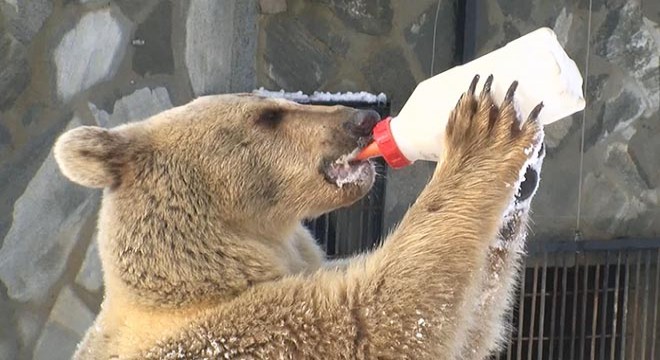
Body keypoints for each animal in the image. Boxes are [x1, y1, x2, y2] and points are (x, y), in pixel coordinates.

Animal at [54, 74, 544, 360]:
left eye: (274, 102)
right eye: (268, 115)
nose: (362, 118)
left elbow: (471, 326)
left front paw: (523, 177)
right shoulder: (244, 335)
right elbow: (380, 315)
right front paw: (482, 129)